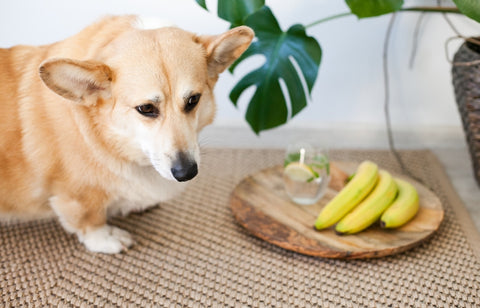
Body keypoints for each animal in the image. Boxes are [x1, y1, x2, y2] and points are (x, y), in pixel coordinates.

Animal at [0, 15, 255, 253]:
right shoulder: (77, 195)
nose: (186, 172)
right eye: (146, 108)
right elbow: (90, 220)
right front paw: (106, 239)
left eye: (193, 100)